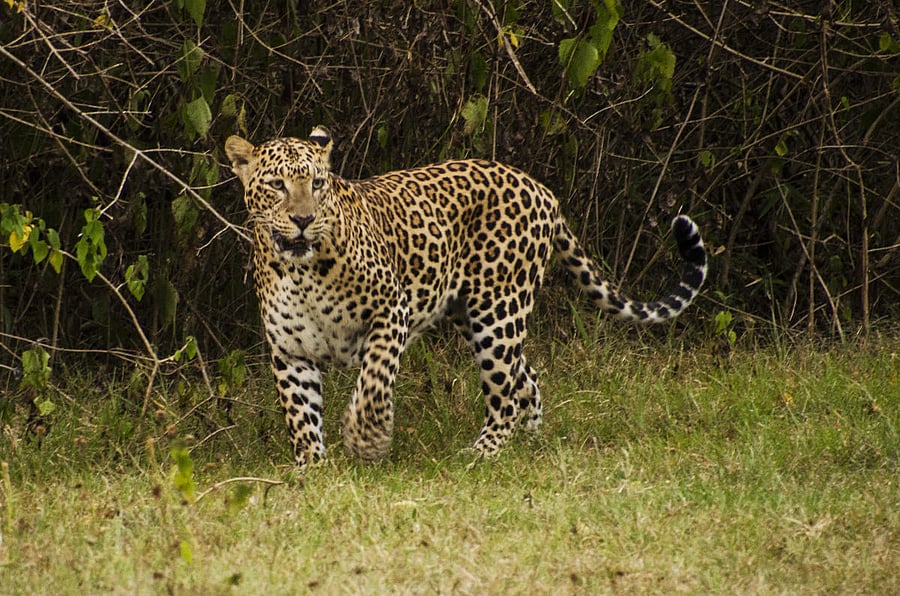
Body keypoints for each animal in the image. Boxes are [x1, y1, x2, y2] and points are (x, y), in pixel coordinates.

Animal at [225, 127, 707, 467]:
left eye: (318, 184)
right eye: (277, 185)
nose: (304, 220)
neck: (300, 272)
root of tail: (541, 189)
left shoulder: (391, 312)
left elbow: (373, 382)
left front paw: (366, 441)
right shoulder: (290, 350)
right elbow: (301, 415)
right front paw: (312, 469)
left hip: (498, 312)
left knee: (508, 394)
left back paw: (481, 455)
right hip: (472, 312)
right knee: (526, 378)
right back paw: (529, 445)